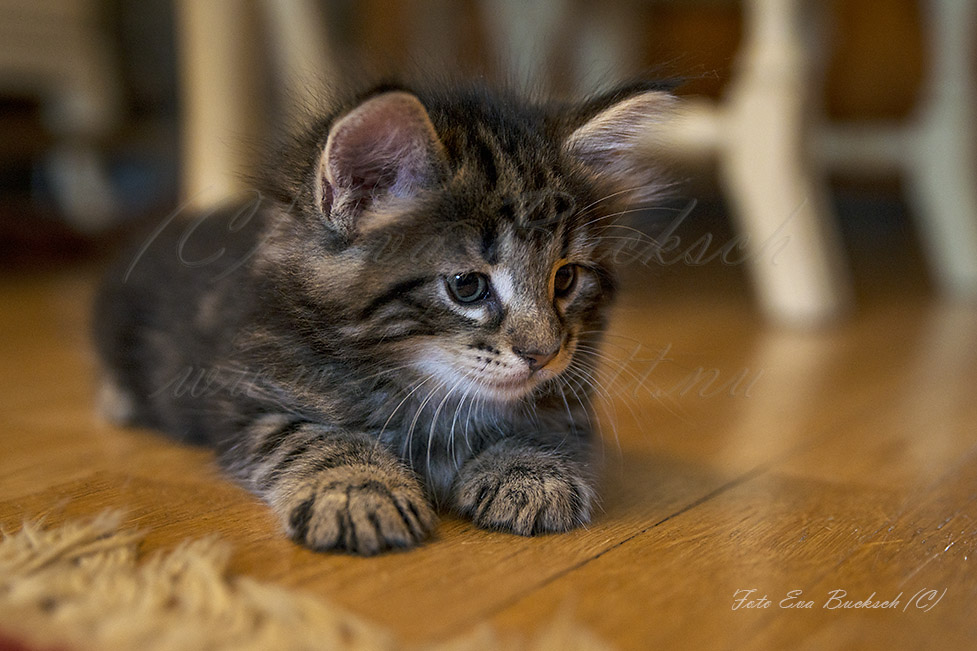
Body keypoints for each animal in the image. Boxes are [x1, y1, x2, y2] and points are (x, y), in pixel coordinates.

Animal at [93, 77, 672, 556]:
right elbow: (313, 437)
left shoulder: (569, 389)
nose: (544, 353)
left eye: (566, 279)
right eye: (467, 286)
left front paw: (530, 472)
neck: (431, 396)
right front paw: (357, 489)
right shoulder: (247, 398)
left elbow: (550, 423)